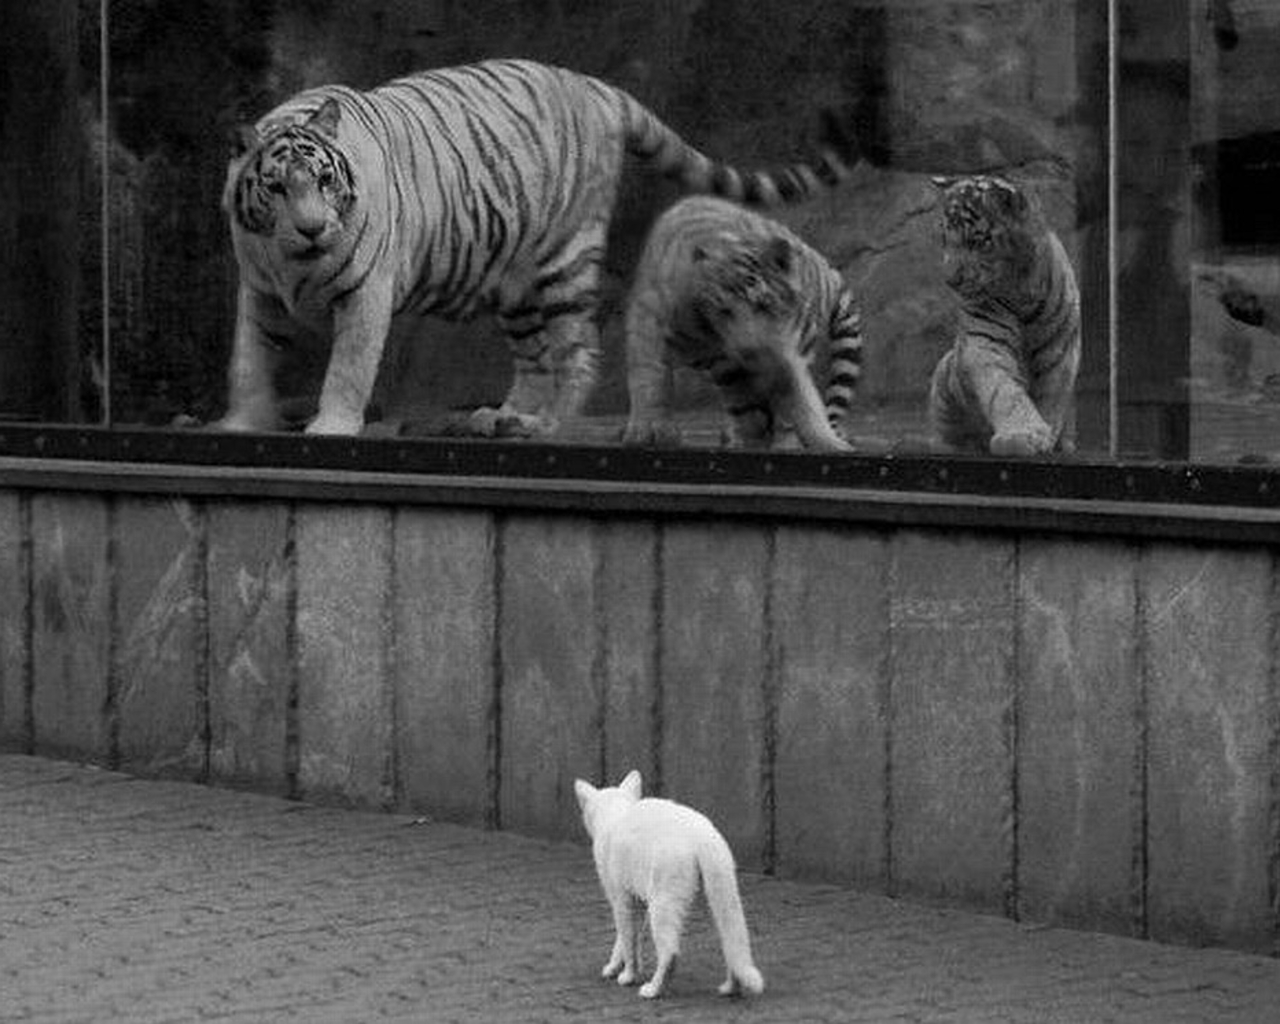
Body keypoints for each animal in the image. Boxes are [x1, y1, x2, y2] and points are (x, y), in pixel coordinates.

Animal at [622, 196, 862, 452]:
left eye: (764, 306)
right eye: (724, 312)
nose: (750, 352)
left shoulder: (785, 353)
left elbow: (800, 397)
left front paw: (827, 442)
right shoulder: (650, 320)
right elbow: (651, 377)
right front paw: (650, 430)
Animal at [927, 175, 1080, 456]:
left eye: (978, 240)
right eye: (944, 238)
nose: (951, 280)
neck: (1019, 291)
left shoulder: (1060, 349)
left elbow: (1051, 396)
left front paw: (1045, 437)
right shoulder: (985, 342)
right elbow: (1004, 390)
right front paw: (1022, 435)